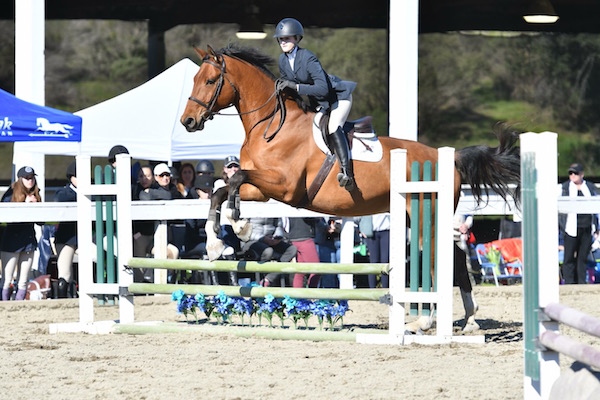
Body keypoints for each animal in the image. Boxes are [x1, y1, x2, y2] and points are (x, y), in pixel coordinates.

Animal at [178, 45, 520, 332]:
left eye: (210, 80)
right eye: (193, 78)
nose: (188, 122)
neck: (270, 125)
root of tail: (449, 157)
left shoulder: (283, 187)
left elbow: (234, 180)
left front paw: (240, 226)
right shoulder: (263, 190)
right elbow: (222, 191)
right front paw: (217, 242)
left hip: (426, 213)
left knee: (440, 259)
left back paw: (426, 322)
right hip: (421, 215)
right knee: (455, 257)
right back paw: (468, 320)